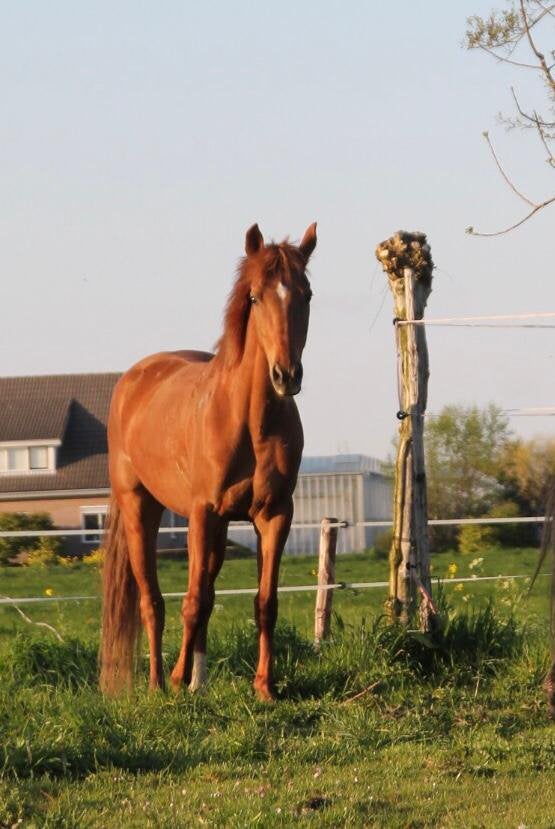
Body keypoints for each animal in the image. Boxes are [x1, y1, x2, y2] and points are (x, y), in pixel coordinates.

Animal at [99, 222, 317, 700]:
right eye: (255, 296)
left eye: (307, 294)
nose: (286, 376)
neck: (250, 421)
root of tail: (133, 380)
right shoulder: (202, 512)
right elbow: (192, 600)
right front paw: (175, 680)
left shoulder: (275, 514)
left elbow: (264, 602)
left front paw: (265, 686)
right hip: (142, 507)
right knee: (154, 600)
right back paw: (159, 683)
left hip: (218, 526)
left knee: (208, 593)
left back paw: (197, 681)